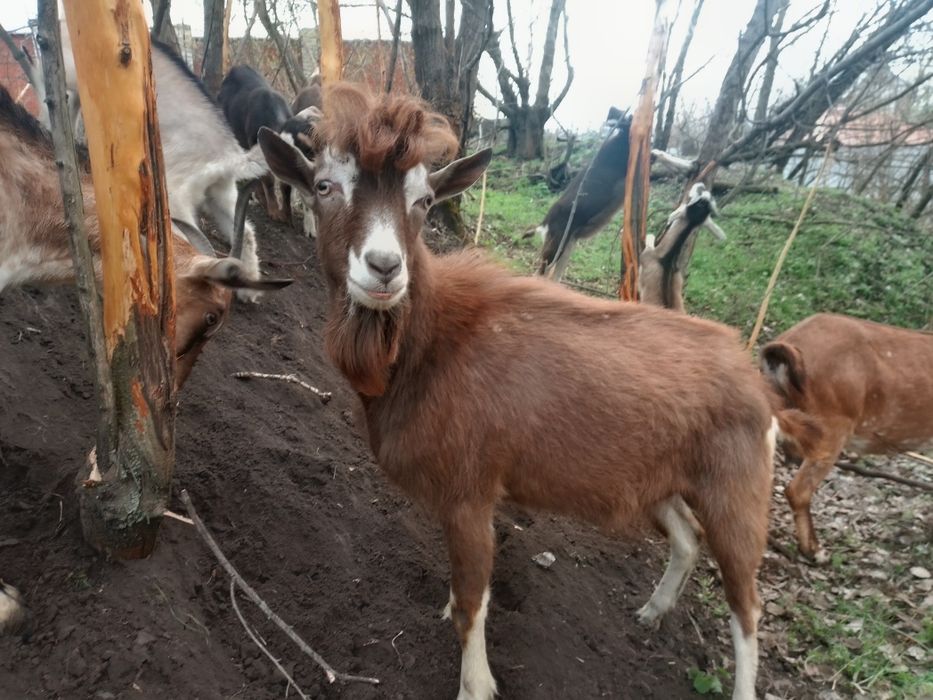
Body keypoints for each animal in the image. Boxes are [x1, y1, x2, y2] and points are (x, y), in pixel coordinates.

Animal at [639, 183, 727, 312]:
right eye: (703, 199)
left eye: (696, 200)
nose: (701, 185)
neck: (666, 259)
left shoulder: (646, 258)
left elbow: (649, 242)